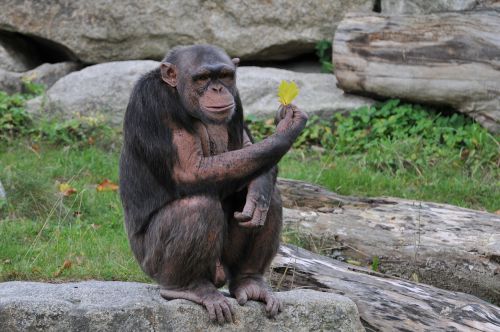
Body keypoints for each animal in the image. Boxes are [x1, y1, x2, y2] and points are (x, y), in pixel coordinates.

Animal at [119, 44, 306, 324]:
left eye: (225, 76)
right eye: (203, 78)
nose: (217, 89)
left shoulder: (236, 98)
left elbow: (248, 146)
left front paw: (258, 193)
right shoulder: (152, 102)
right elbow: (189, 170)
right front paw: (286, 128)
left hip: (224, 265)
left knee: (272, 201)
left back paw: (251, 281)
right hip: (150, 262)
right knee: (197, 206)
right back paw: (188, 287)